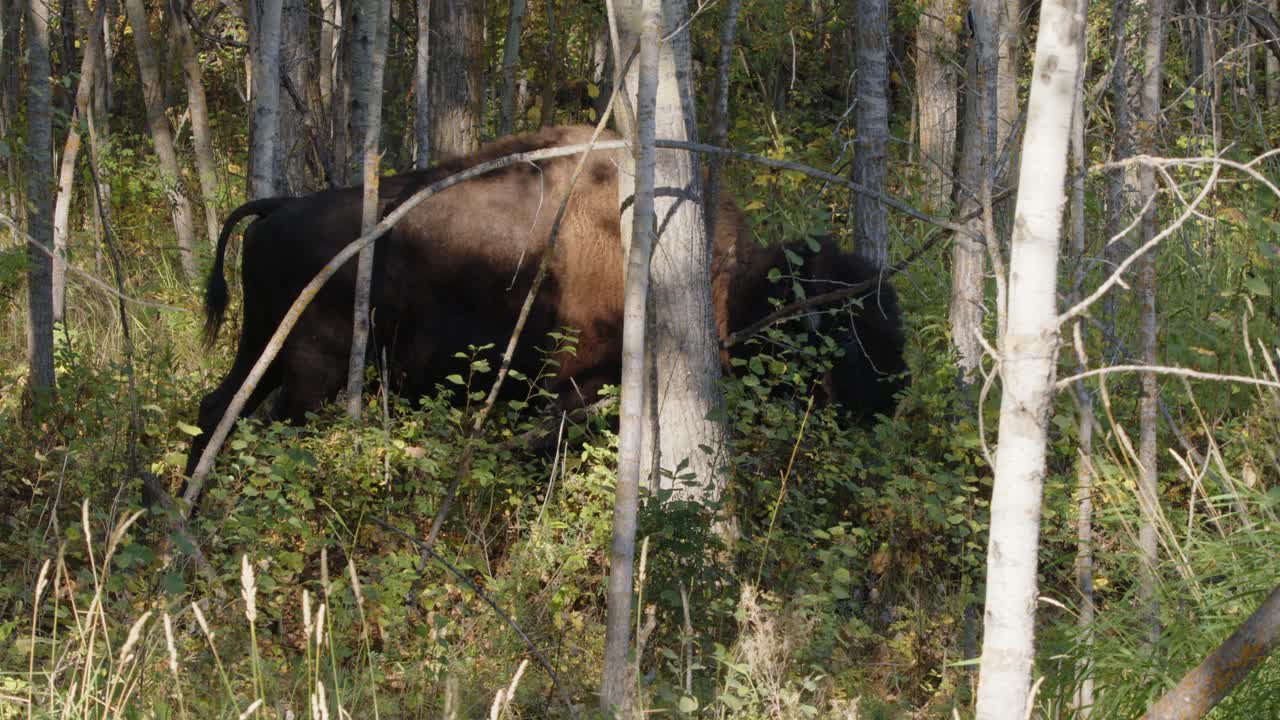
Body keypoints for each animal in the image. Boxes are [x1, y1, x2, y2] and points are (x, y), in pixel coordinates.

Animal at [186, 126, 907, 476]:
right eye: (846, 331)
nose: (893, 395)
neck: (729, 283)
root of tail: (279, 208)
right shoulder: (577, 389)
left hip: (264, 351)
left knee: (219, 408)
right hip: (311, 369)